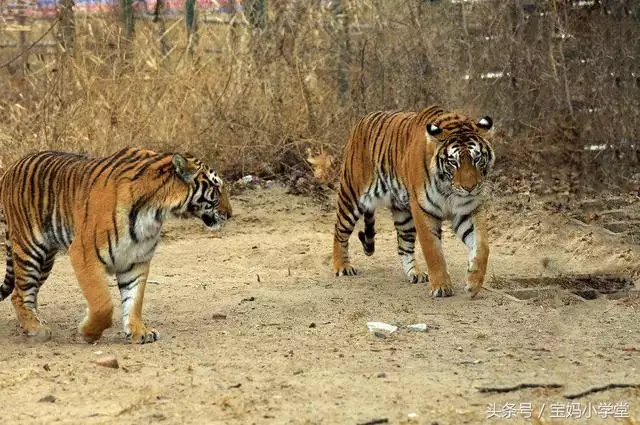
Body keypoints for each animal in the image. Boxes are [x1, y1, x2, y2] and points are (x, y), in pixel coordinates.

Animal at [0, 147, 230, 342]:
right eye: (216, 188)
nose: (230, 214)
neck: (156, 210)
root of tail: (11, 167)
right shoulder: (84, 253)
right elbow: (102, 304)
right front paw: (88, 332)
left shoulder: (136, 259)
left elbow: (134, 299)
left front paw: (138, 331)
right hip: (30, 250)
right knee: (18, 294)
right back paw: (36, 328)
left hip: (46, 259)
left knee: (29, 292)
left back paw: (34, 320)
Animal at [332, 105, 498, 296]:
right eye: (452, 162)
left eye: (477, 158)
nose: (469, 188)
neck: (449, 190)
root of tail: (363, 119)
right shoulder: (423, 210)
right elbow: (433, 251)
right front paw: (441, 286)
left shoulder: (468, 210)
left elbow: (482, 246)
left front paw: (473, 282)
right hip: (351, 195)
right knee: (339, 231)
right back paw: (342, 267)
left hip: (403, 214)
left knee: (403, 246)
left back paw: (415, 273)